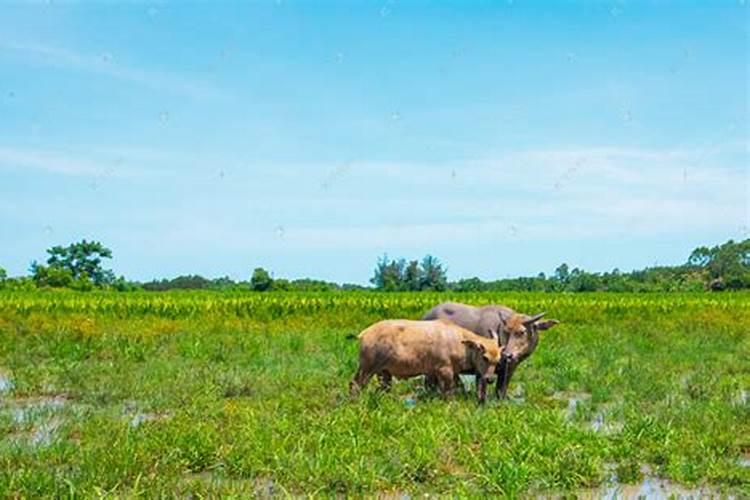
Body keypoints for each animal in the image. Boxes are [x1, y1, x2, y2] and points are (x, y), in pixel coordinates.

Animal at [350, 320, 502, 402]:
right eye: (485, 357)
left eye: (498, 361)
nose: (490, 379)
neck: (459, 342)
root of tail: (365, 333)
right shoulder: (445, 371)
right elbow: (448, 391)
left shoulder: (439, 373)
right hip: (366, 369)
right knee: (355, 384)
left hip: (383, 372)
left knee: (384, 388)